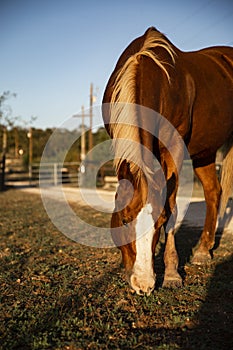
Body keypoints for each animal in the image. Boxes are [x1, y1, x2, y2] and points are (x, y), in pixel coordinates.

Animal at [102, 27, 233, 296]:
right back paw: (203, 249)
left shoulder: (174, 147)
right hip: (204, 152)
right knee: (213, 191)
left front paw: (172, 273)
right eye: (124, 219)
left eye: (159, 222)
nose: (144, 285)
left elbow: (172, 204)